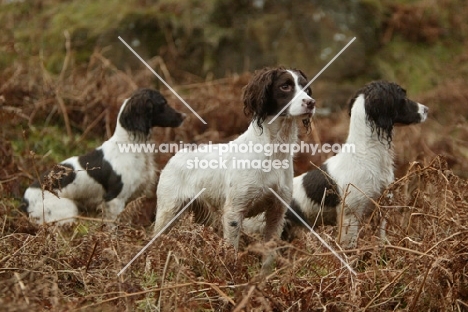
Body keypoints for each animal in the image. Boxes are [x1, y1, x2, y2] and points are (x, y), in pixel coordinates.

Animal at [22, 88, 186, 224]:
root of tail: (25, 200)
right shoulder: (114, 199)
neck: (131, 145)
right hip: (66, 211)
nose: (184, 115)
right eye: (163, 103)